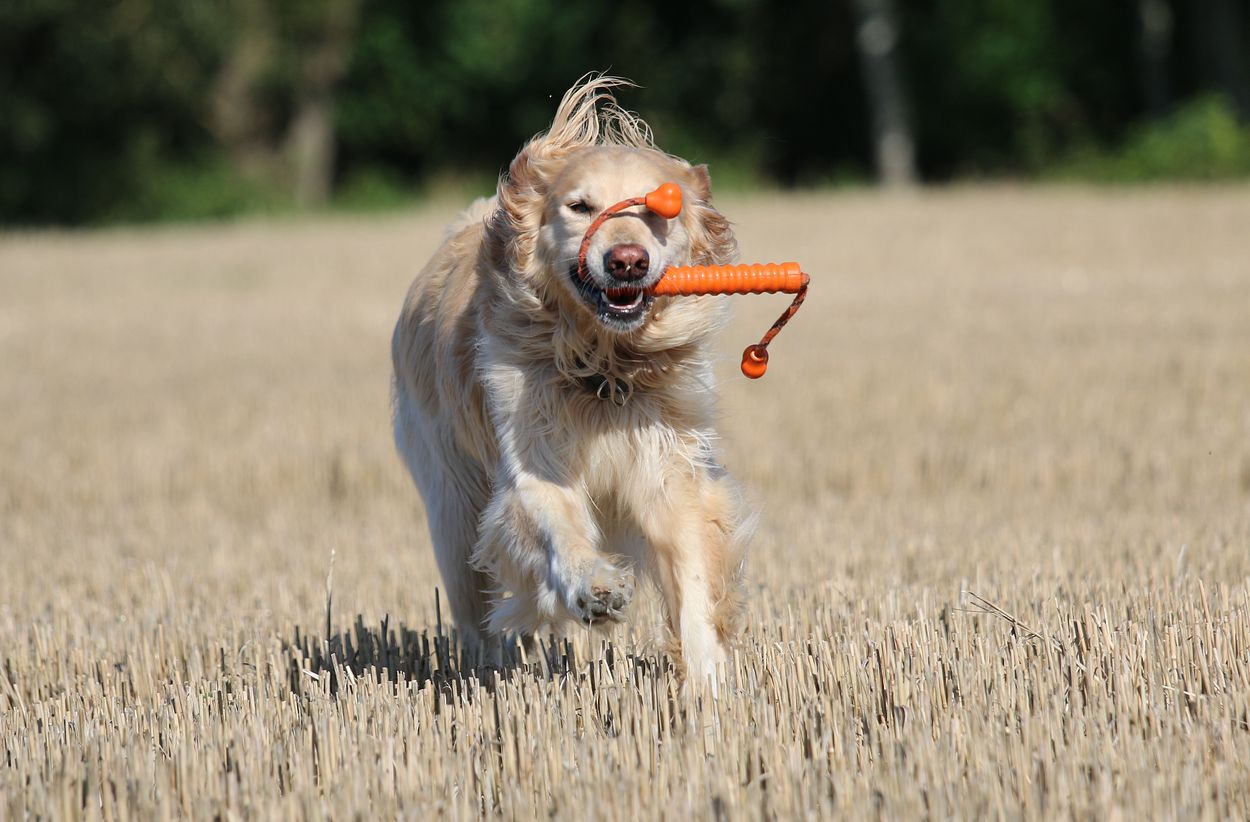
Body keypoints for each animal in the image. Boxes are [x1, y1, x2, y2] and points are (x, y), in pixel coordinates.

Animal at [391, 75, 750, 687]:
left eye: (660, 212)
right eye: (580, 207)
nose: (627, 260)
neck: (604, 367)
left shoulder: (669, 467)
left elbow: (694, 577)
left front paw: (708, 683)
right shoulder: (529, 461)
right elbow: (555, 523)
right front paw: (595, 586)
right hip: (452, 508)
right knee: (477, 613)